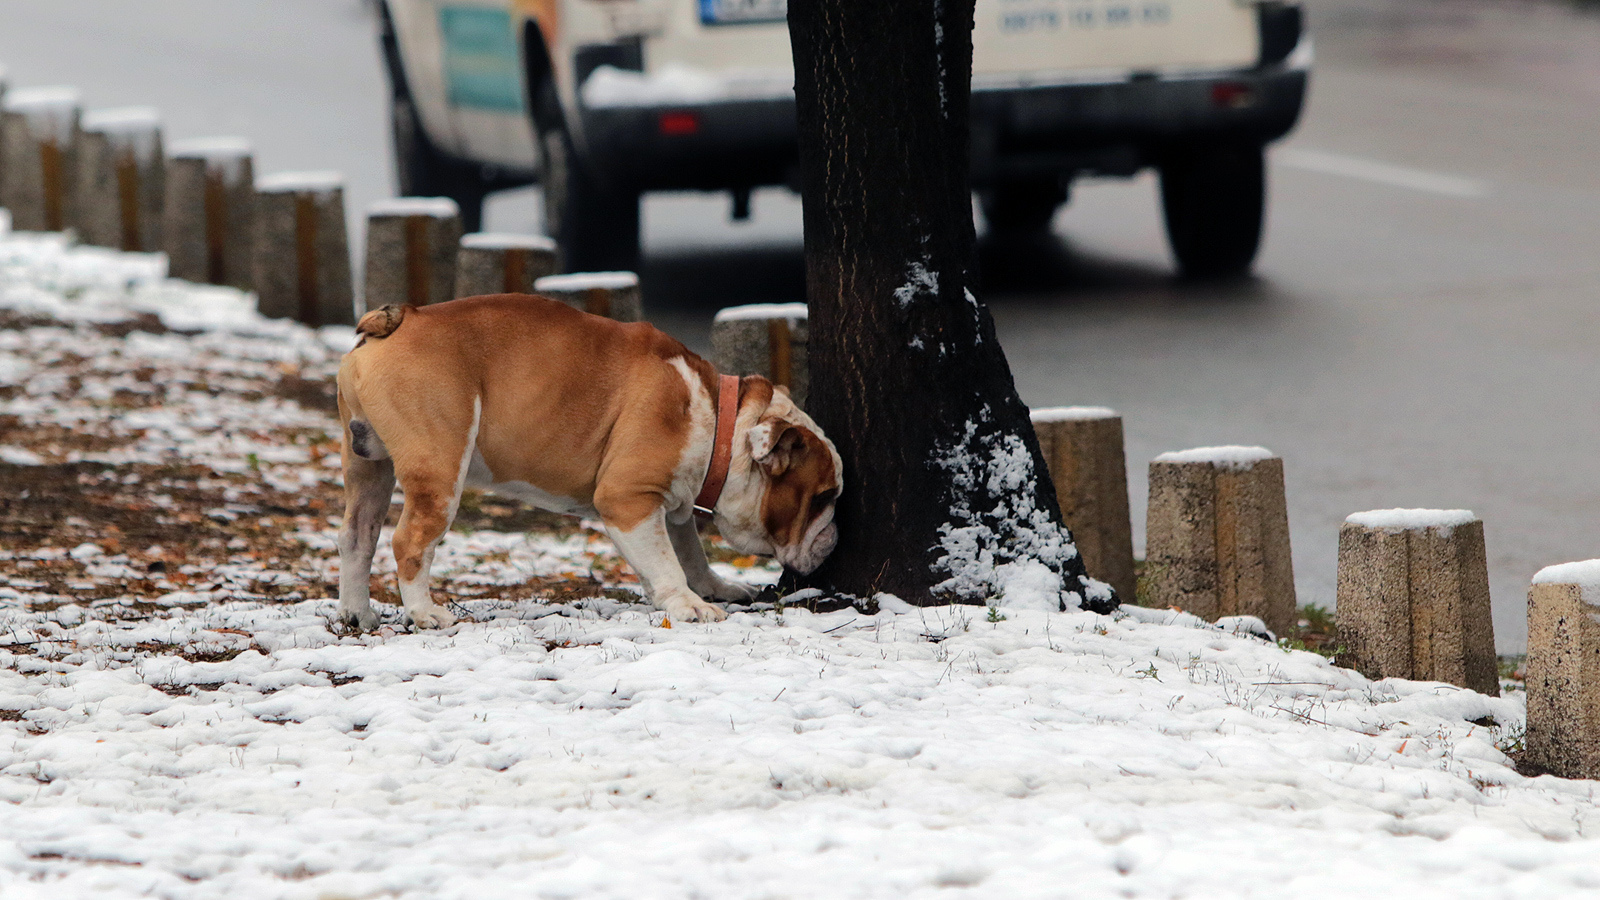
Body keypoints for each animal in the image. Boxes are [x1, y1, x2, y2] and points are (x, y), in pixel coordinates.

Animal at [332, 293, 844, 624]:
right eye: (824, 497)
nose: (834, 535)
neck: (720, 421)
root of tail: (402, 318)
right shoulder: (628, 499)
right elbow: (667, 560)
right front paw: (688, 605)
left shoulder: (669, 501)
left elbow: (687, 550)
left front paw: (713, 588)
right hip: (440, 465)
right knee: (410, 541)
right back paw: (424, 613)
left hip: (367, 464)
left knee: (358, 536)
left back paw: (358, 613)